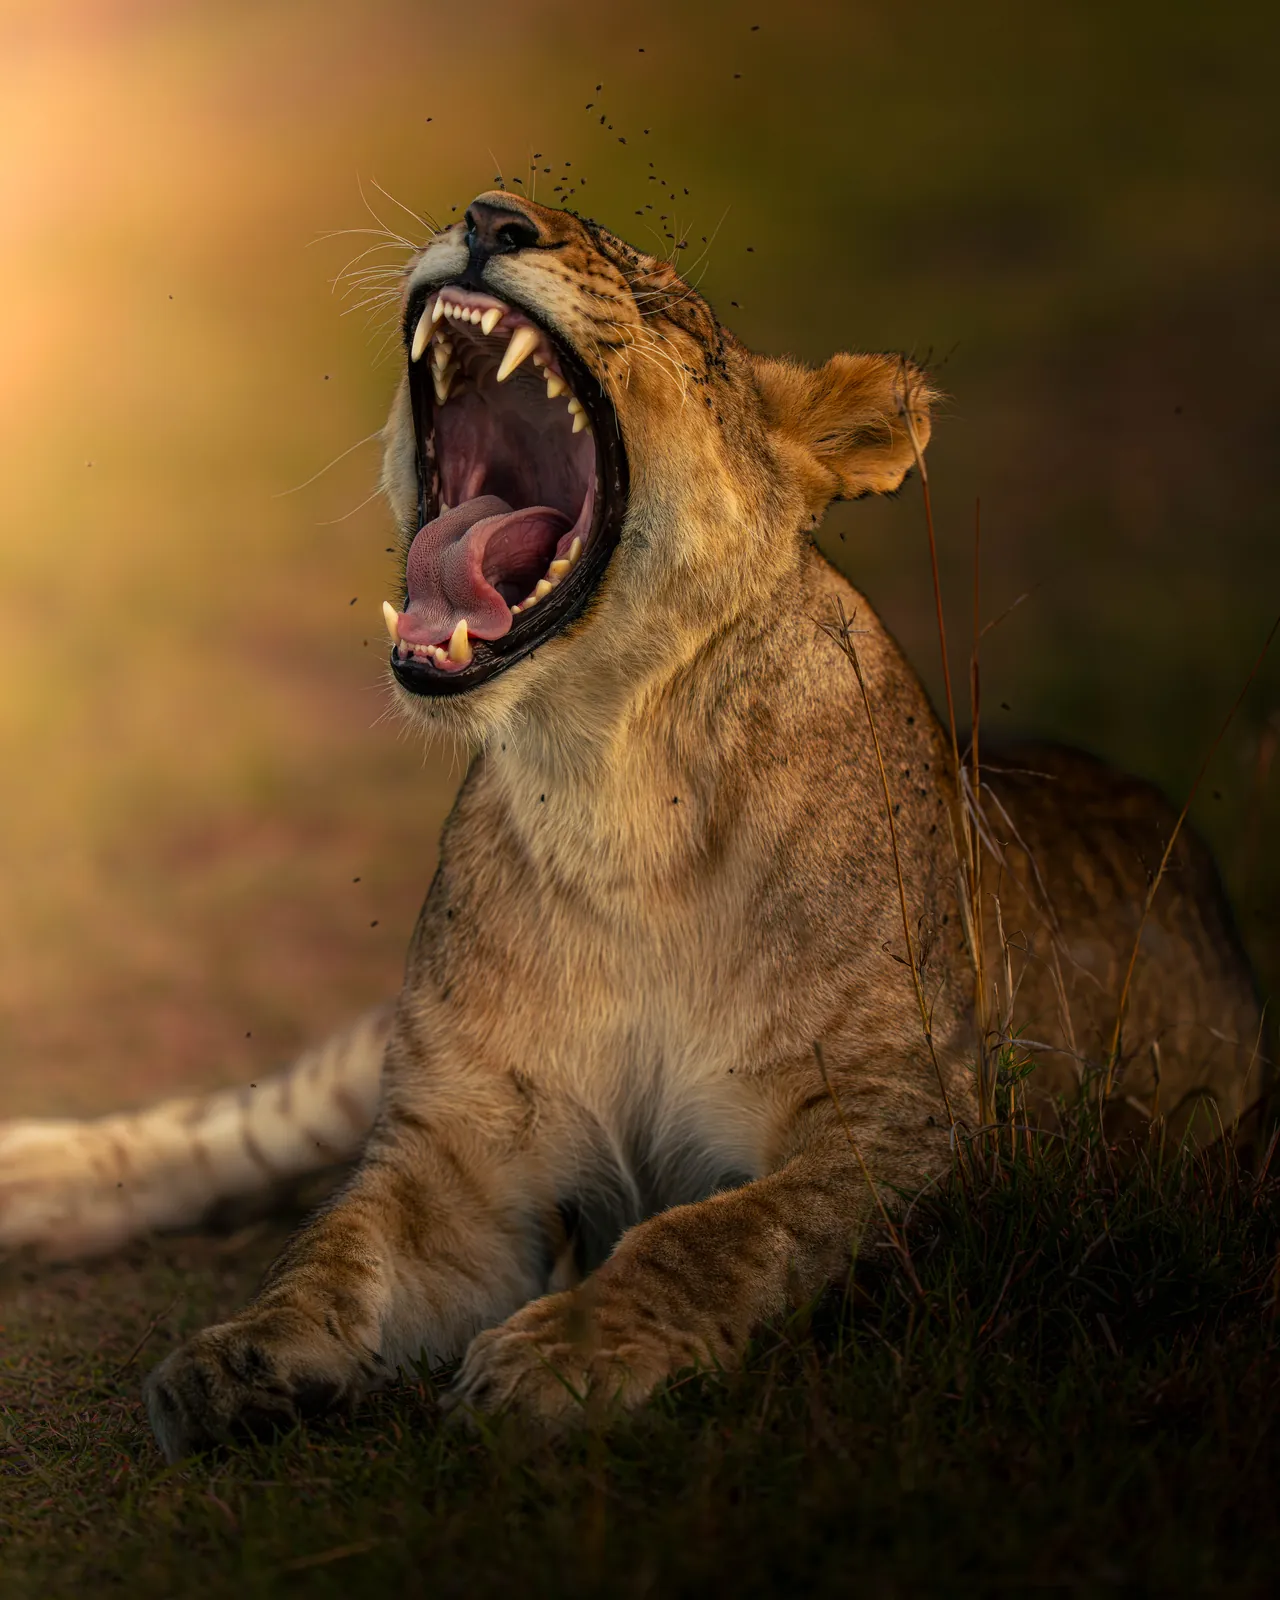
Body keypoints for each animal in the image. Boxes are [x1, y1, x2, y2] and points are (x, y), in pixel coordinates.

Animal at [0, 194, 1263, 1460]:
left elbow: (716, 1235)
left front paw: (559, 1357)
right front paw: (239, 1356)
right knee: (256, 1124)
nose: (490, 214)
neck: (605, 780)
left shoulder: (909, 1125)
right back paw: (28, 1178)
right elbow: (335, 1252)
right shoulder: (455, 1145)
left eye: (661, 303)